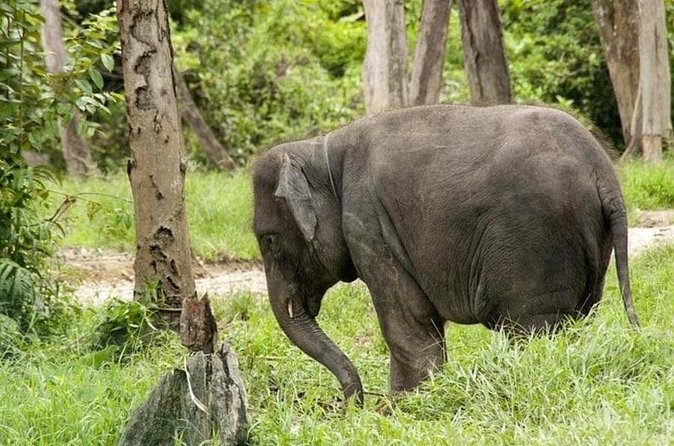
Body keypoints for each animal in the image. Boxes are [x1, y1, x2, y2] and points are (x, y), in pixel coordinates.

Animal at [252, 104, 640, 404]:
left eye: (269, 240)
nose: (351, 405)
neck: (321, 150)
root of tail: (604, 175)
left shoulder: (367, 224)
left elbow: (408, 321)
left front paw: (402, 408)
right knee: (578, 319)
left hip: (538, 241)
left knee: (533, 328)